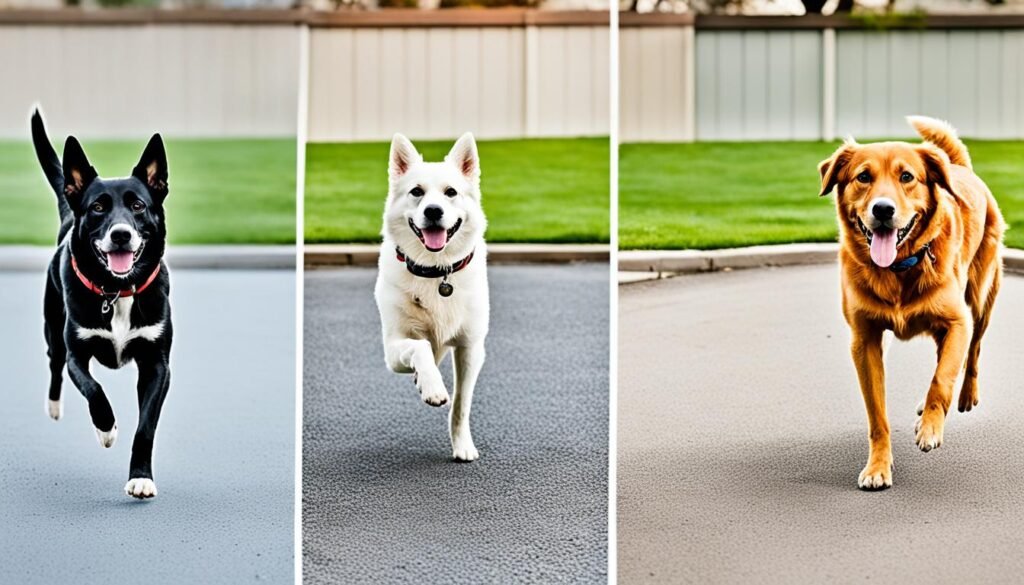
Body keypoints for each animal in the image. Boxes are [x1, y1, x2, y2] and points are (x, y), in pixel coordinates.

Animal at [32, 108, 174, 499]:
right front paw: (107, 430)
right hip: (53, 327)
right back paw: (53, 407)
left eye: (138, 205)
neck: (117, 291)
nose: (121, 234)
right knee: (54, 363)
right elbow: (94, 390)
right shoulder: (78, 355)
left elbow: (146, 427)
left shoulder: (157, 365)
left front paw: (140, 477)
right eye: (97, 207)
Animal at [374, 133, 489, 463]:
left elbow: (461, 403)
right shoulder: (392, 350)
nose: (433, 211)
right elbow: (420, 347)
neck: (436, 271)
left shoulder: (470, 349)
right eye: (417, 192)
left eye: (451, 192)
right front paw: (432, 386)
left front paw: (463, 446)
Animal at [819, 116, 1003, 491]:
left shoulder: (956, 321)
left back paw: (965, 396)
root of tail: (959, 168)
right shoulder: (865, 341)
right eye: (863, 177)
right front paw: (878, 466)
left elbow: (942, 379)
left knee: (972, 350)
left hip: (981, 299)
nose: (883, 209)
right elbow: (877, 415)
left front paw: (931, 428)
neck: (898, 268)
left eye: (907, 177)